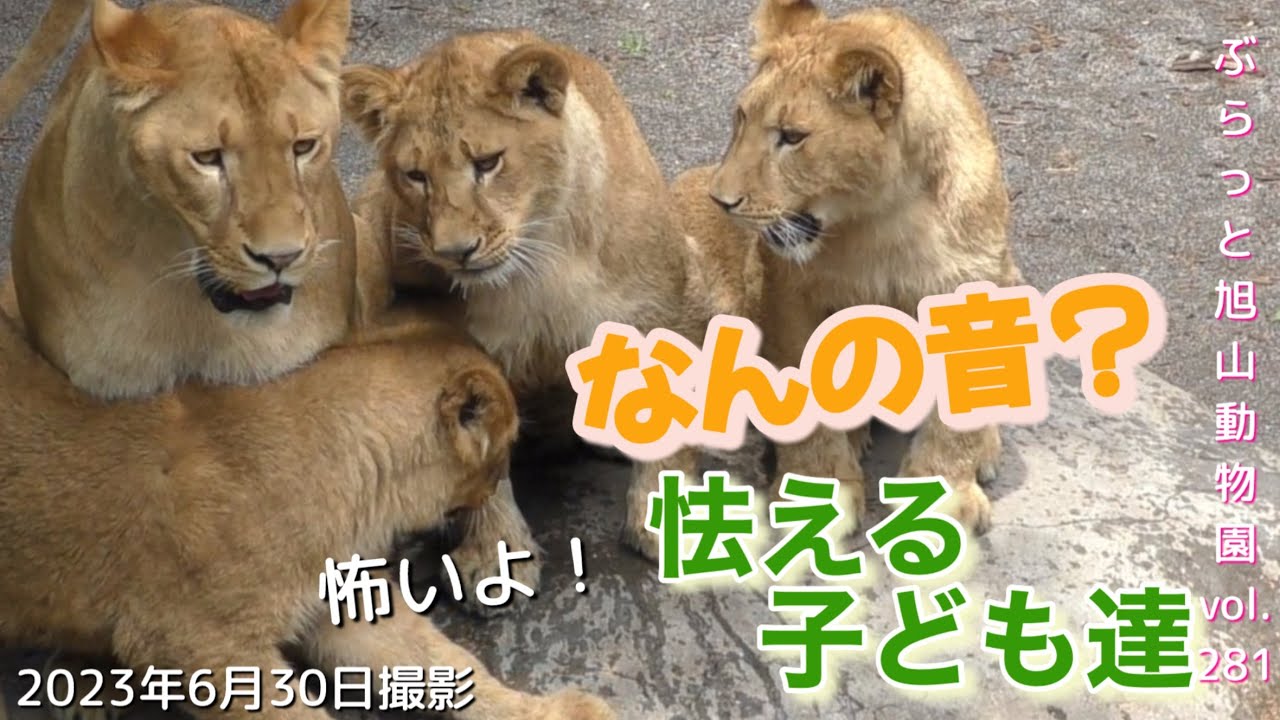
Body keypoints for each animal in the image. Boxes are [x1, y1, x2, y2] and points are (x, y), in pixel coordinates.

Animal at [340, 30, 766, 571]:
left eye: (487, 162)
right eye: (416, 175)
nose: (455, 252)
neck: (538, 263)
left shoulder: (663, 309)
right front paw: (494, 552)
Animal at [688, 0, 1024, 536]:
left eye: (792, 137)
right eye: (740, 118)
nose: (721, 200)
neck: (879, 222)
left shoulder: (971, 282)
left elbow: (954, 423)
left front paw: (945, 498)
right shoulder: (785, 293)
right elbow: (804, 401)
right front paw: (816, 489)